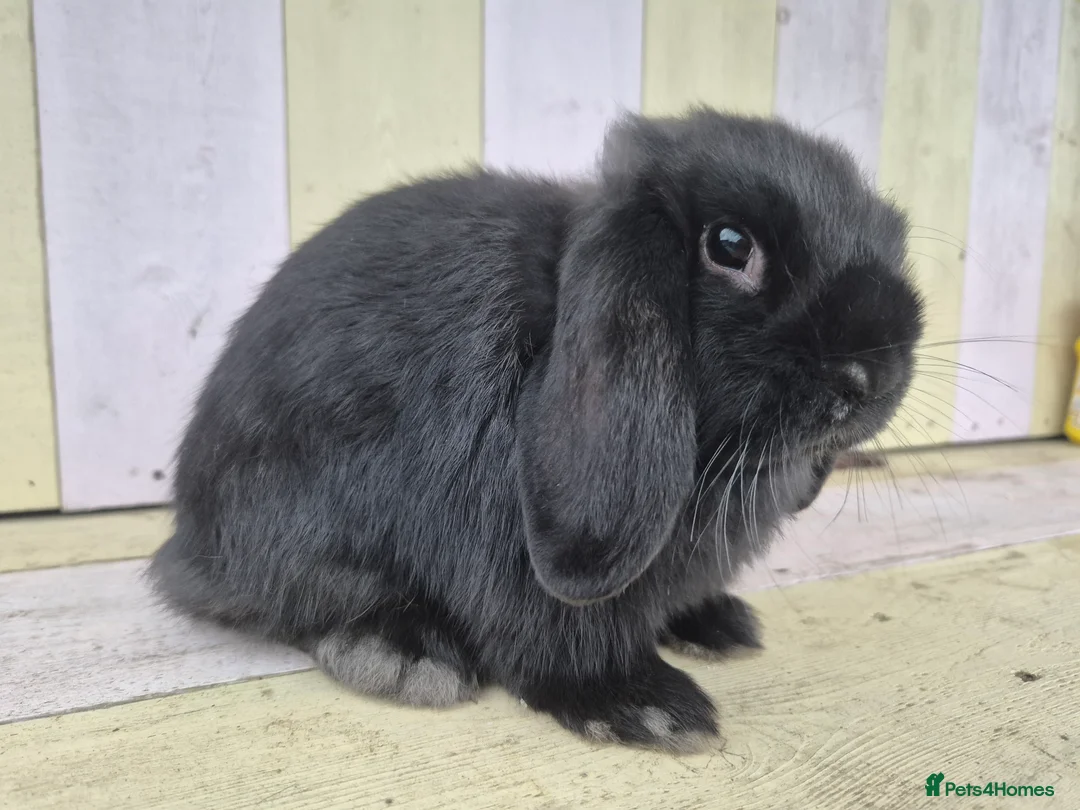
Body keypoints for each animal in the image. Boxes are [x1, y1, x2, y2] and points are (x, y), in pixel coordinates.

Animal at [149, 105, 924, 753]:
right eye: (730, 245)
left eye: (890, 235)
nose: (871, 374)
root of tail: (186, 538)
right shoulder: (514, 556)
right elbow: (559, 637)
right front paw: (644, 706)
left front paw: (709, 624)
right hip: (295, 516)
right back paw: (402, 655)